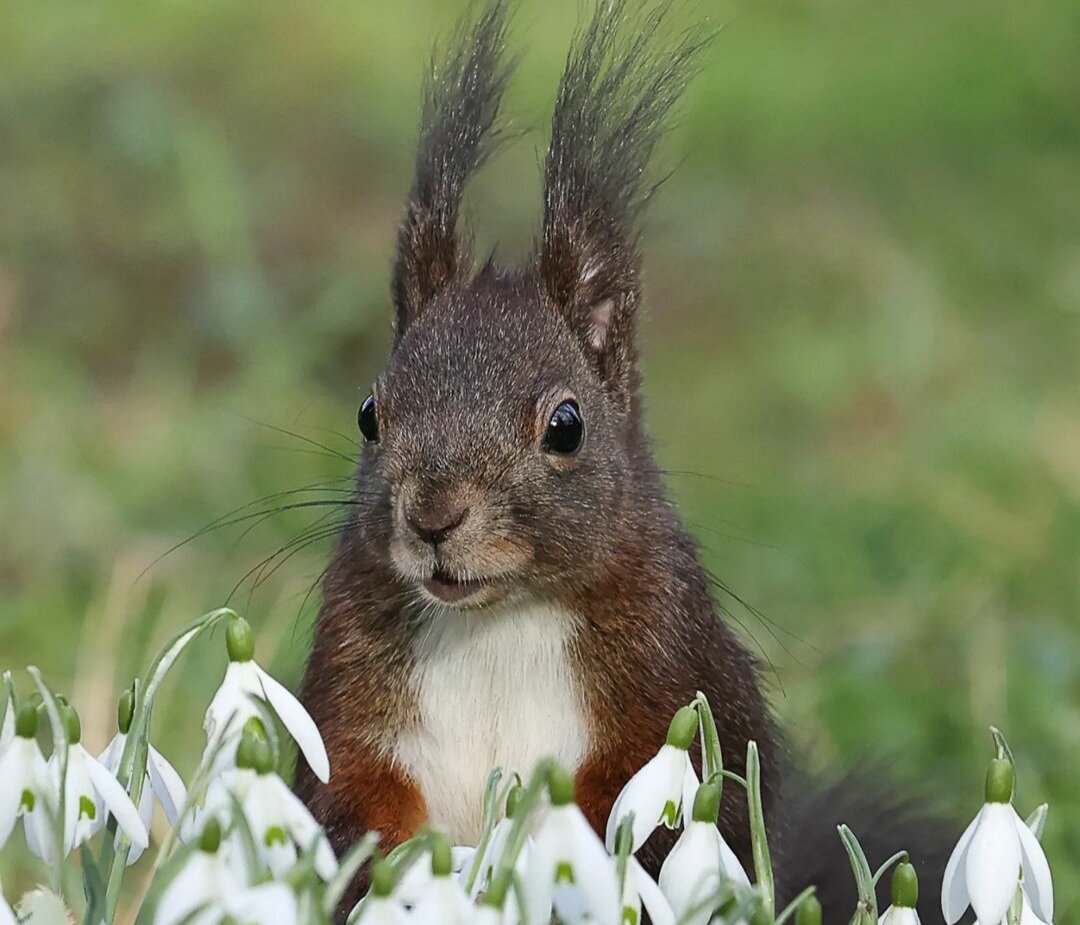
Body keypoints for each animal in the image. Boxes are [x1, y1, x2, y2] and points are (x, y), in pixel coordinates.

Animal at [293, 0, 954, 916]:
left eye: (566, 426)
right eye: (368, 415)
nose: (432, 516)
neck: (496, 620)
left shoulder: (674, 662)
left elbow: (678, 806)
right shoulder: (349, 682)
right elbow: (345, 791)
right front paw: (395, 861)